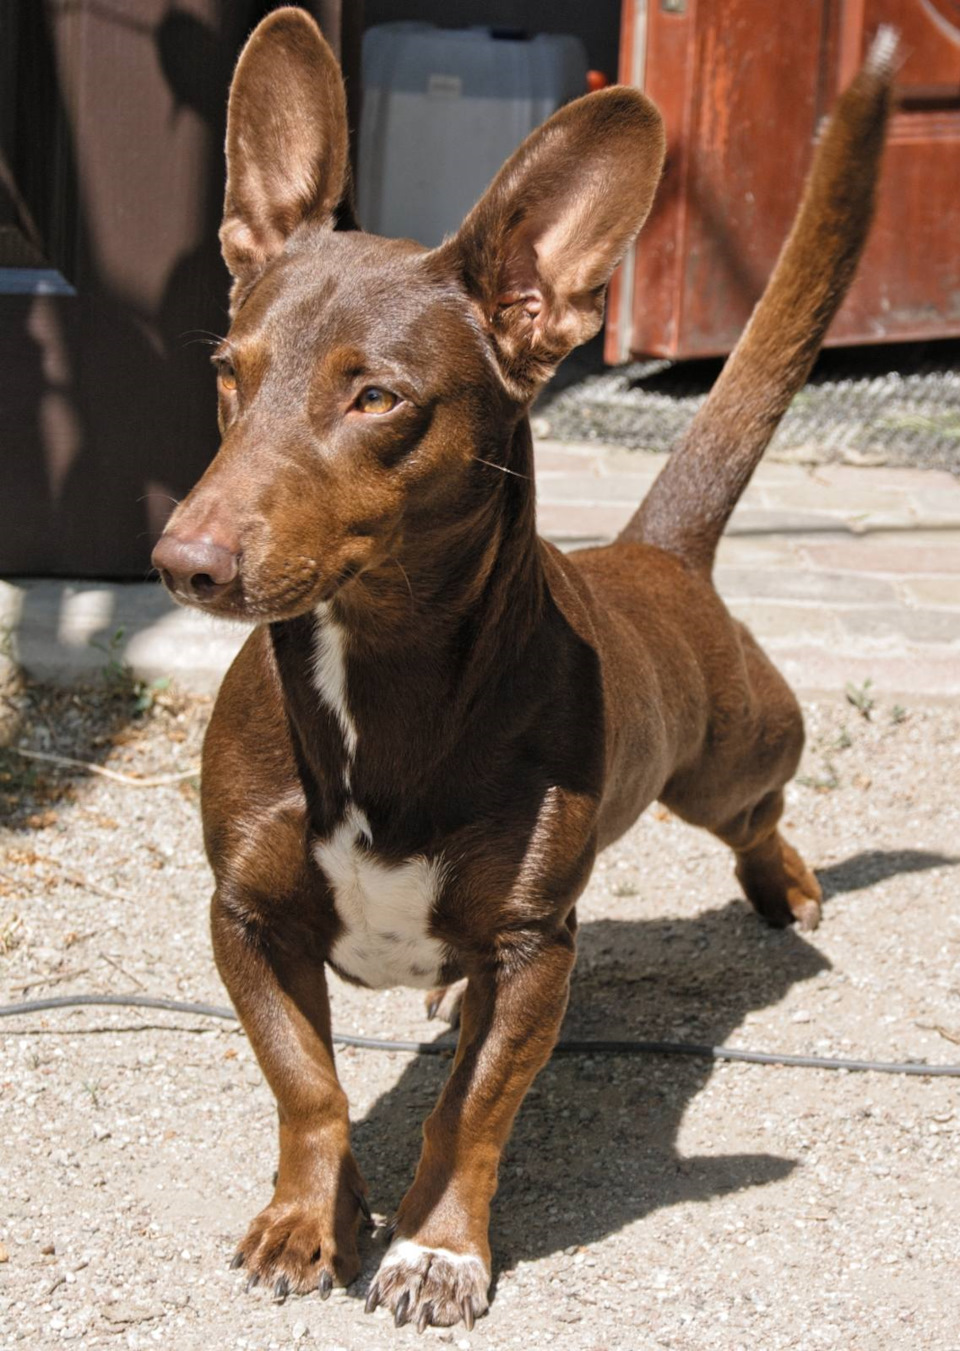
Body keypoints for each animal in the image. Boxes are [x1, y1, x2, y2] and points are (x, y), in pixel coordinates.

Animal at [149, 13, 891, 1329]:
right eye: (230, 370)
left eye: (376, 396)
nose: (182, 562)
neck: (372, 676)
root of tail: (654, 552)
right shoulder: (243, 918)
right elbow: (307, 1084)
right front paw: (308, 1220)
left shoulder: (537, 948)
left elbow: (469, 1110)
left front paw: (436, 1248)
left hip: (730, 755)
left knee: (763, 811)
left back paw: (787, 883)